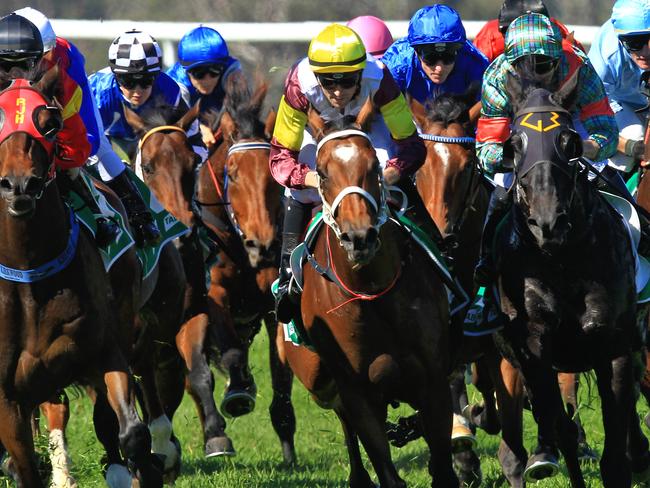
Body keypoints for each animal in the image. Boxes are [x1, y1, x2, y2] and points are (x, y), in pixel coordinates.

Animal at [0, 67, 165, 484]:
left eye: (51, 124)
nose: (19, 185)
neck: (28, 270)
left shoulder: (103, 350)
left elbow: (131, 432)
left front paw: (145, 468)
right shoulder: (7, 398)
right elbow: (24, 465)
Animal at [121, 76, 294, 462]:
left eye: (274, 177)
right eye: (234, 174)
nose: (263, 244)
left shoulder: (272, 302)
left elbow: (281, 371)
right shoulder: (213, 294)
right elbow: (224, 355)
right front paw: (236, 396)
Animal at [282, 101, 456, 486]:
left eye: (373, 166)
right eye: (322, 173)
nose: (358, 237)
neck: (372, 292)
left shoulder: (434, 379)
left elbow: (443, 466)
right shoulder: (357, 392)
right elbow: (385, 467)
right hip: (315, 376)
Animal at [492, 66, 648, 486]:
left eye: (568, 141)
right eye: (515, 144)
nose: (548, 222)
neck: (561, 260)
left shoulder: (613, 344)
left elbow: (615, 452)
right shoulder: (534, 350)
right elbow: (563, 431)